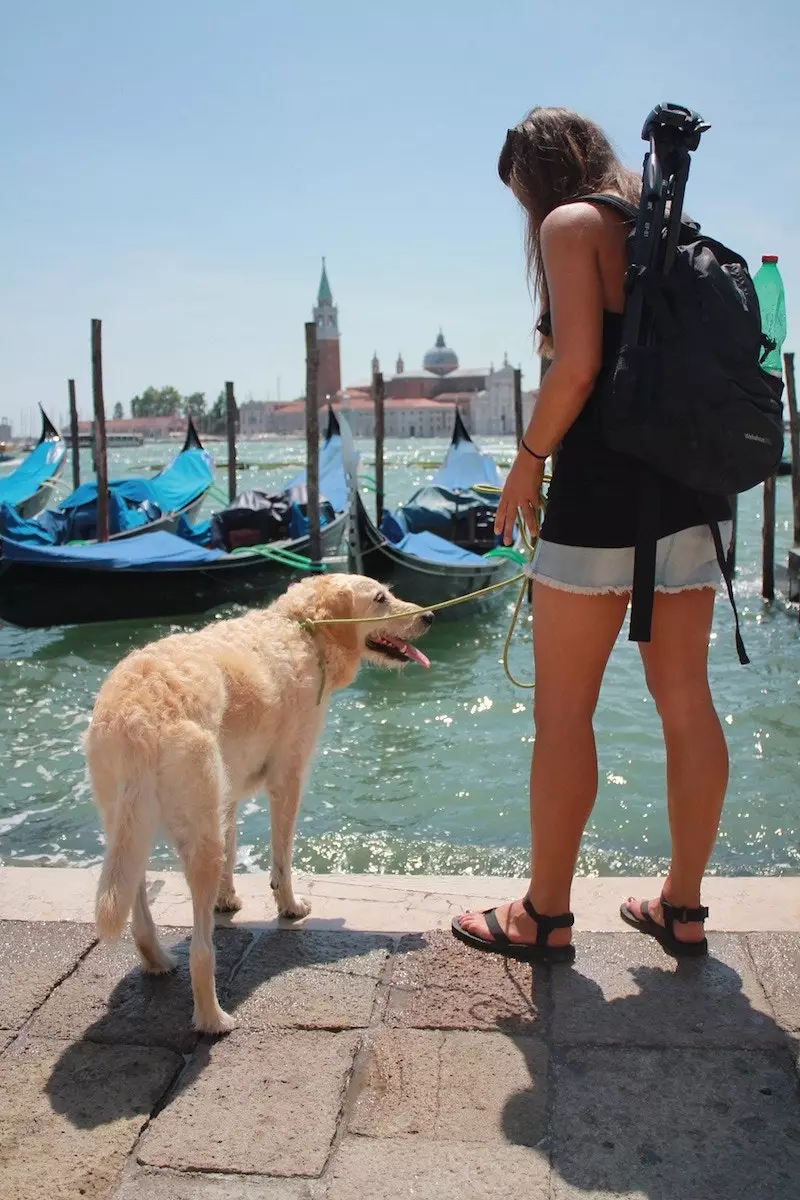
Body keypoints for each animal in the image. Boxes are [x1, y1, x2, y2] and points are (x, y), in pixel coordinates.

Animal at [86, 571, 431, 1032]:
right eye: (380, 598)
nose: (429, 617)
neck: (302, 630)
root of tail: (137, 716)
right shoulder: (288, 778)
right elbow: (282, 856)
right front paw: (290, 907)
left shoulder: (227, 791)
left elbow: (234, 848)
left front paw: (227, 898)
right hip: (197, 836)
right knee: (201, 951)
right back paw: (213, 1019)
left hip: (128, 825)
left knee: (138, 906)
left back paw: (157, 959)